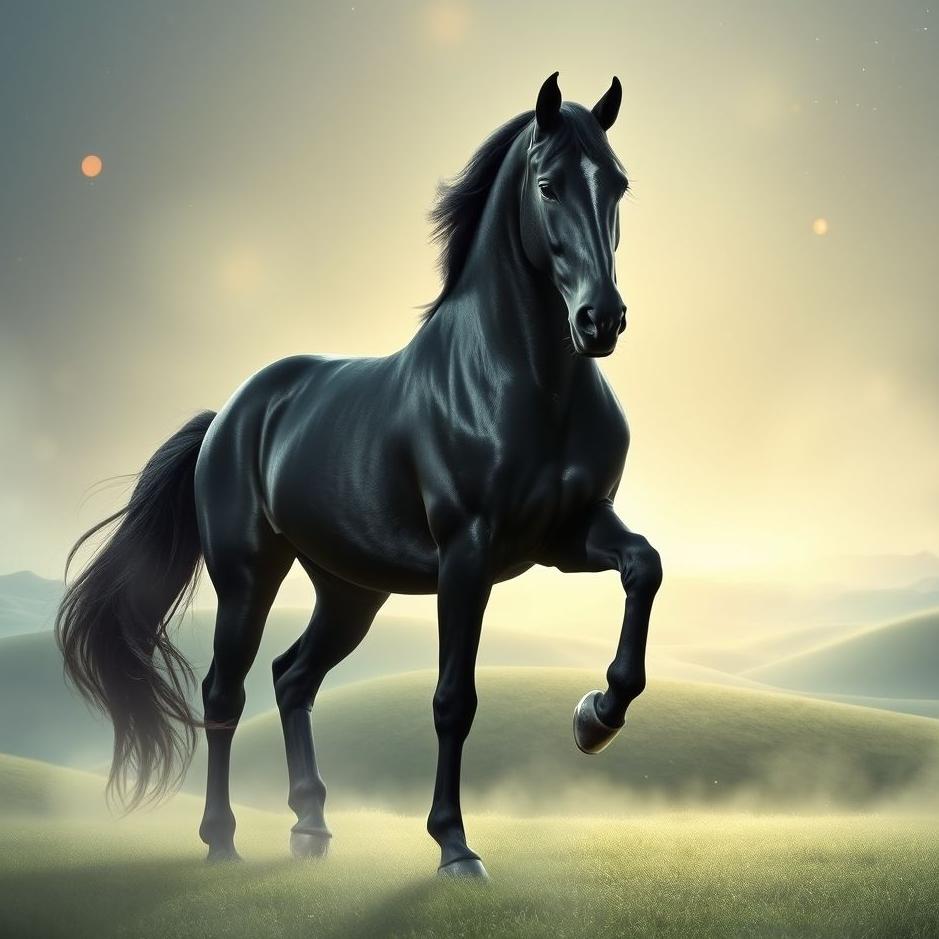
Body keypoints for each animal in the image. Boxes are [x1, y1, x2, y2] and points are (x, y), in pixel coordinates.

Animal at [56, 72, 662, 880]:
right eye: (547, 184)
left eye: (618, 184)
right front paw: (454, 846)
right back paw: (222, 840)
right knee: (226, 691)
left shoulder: (568, 533)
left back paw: (311, 825)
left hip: (350, 591)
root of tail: (228, 415)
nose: (601, 321)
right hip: (249, 576)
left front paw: (594, 718)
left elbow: (644, 566)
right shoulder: (467, 553)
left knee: (292, 677)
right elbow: (453, 699)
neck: (524, 383)